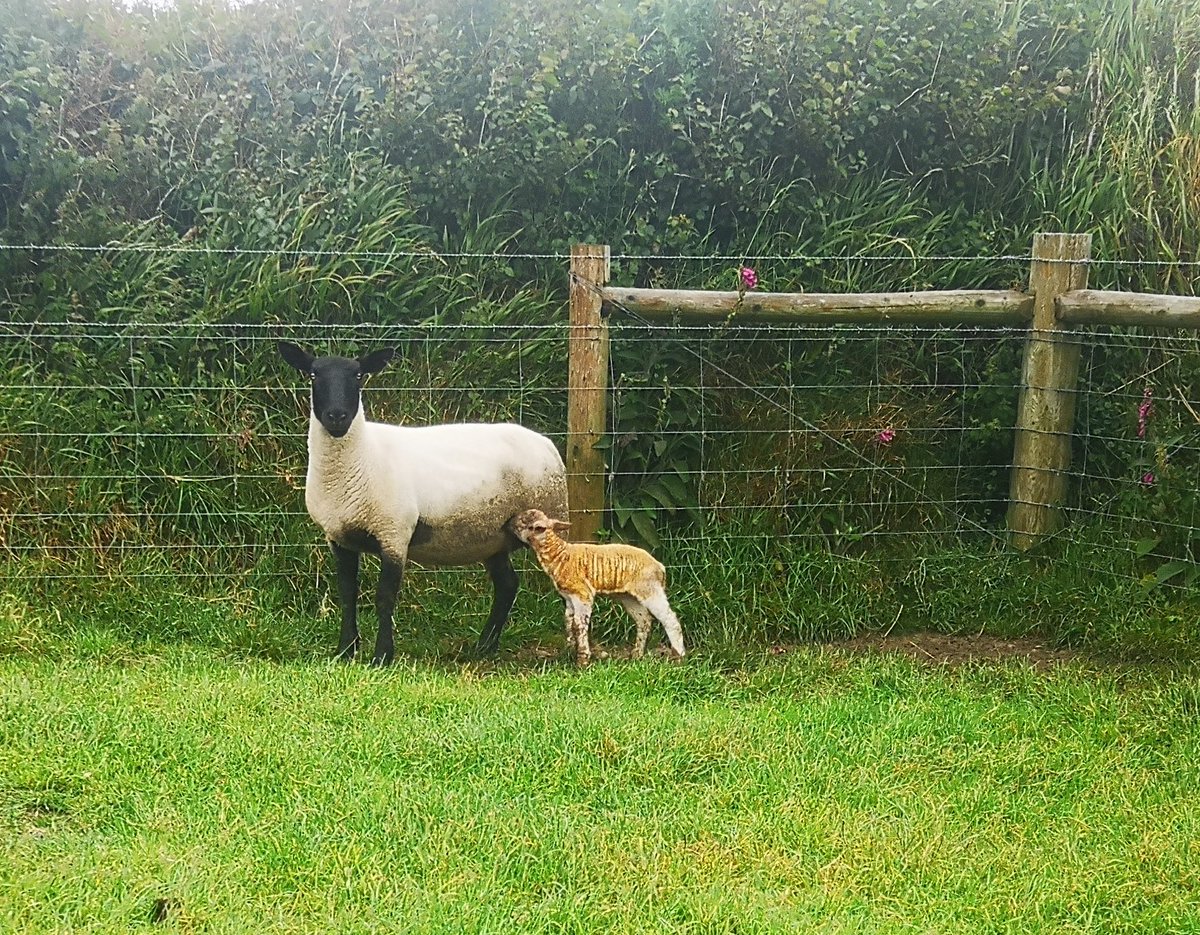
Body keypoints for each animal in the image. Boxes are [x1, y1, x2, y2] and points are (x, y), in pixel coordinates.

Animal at [278, 342, 568, 665]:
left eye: (358, 376)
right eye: (313, 375)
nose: (337, 416)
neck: (362, 457)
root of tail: (546, 443)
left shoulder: (394, 533)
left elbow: (384, 598)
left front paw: (382, 656)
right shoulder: (339, 537)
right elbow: (347, 594)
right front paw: (345, 651)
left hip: (550, 516)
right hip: (492, 535)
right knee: (507, 585)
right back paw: (484, 646)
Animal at [507, 508, 686, 666]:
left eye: (524, 521)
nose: (509, 523)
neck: (560, 555)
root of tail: (660, 567)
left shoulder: (583, 594)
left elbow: (579, 624)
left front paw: (582, 661)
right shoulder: (569, 597)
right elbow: (569, 622)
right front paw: (570, 649)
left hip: (650, 589)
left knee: (670, 619)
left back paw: (679, 657)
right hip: (629, 596)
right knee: (644, 620)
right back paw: (636, 655)